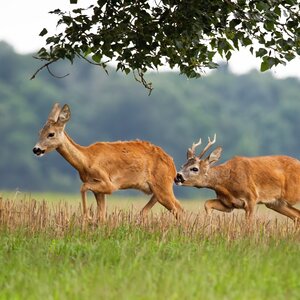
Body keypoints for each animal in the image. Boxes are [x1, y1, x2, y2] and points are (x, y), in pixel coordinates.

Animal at [32, 103, 183, 223]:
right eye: (39, 132)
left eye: (51, 134)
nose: (36, 149)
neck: (87, 160)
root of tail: (173, 166)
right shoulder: (99, 190)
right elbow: (102, 215)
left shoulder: (109, 184)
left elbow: (83, 187)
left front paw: (87, 217)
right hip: (157, 189)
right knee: (150, 210)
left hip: (163, 186)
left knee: (179, 210)